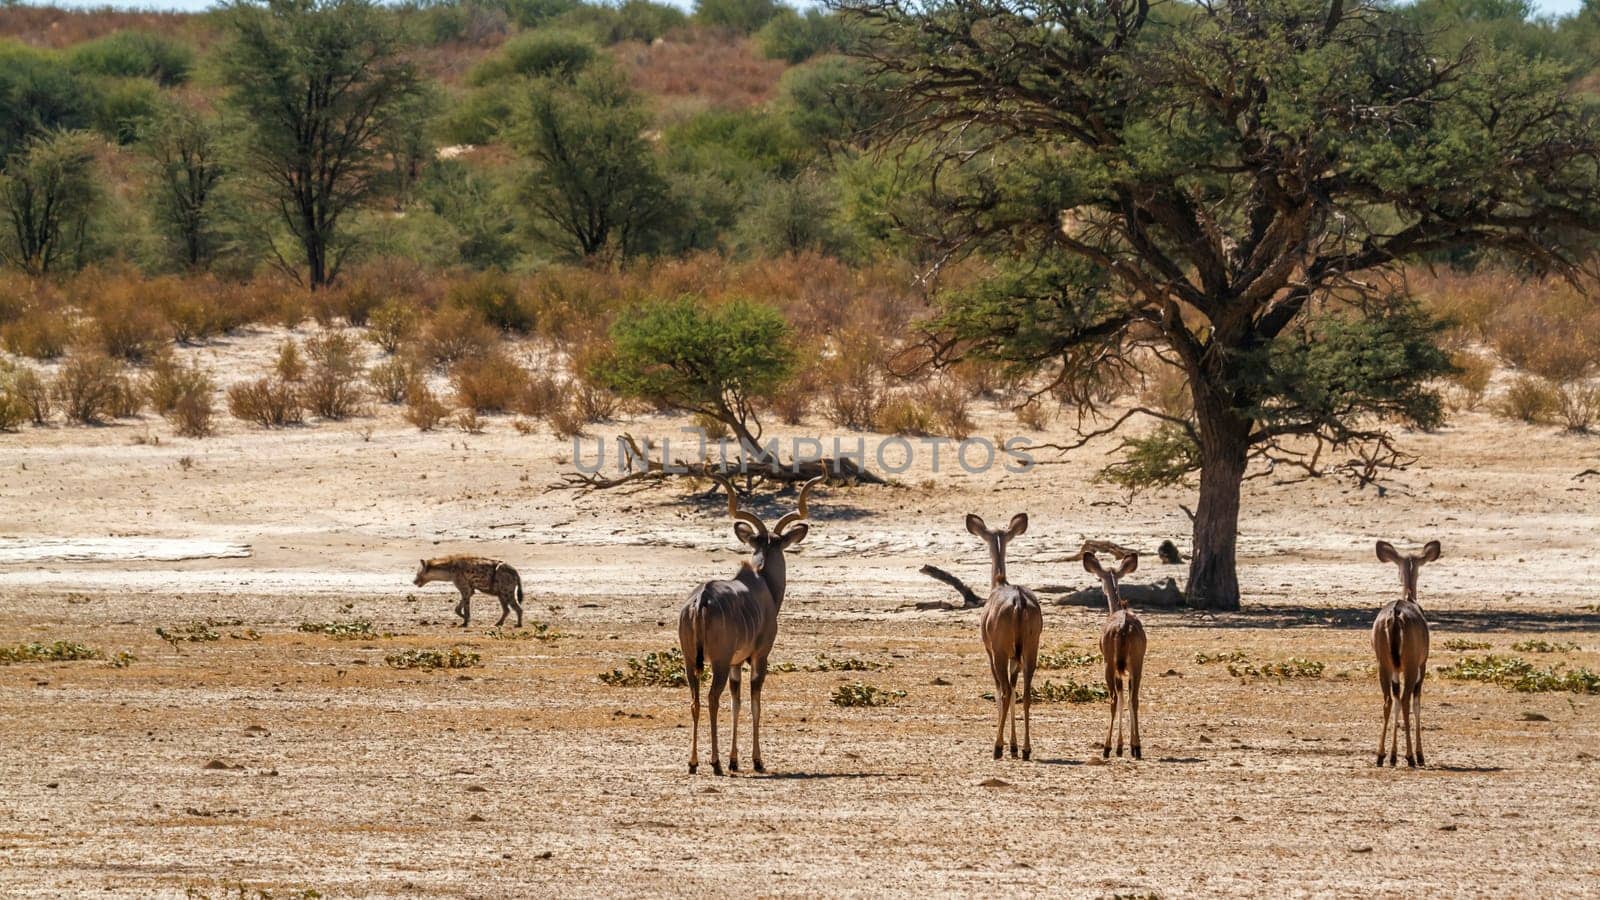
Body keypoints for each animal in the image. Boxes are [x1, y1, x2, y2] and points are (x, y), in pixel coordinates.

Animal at [678, 474, 819, 775]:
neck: (762, 582)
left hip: (689, 662)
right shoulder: (758, 656)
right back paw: (715, 762)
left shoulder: (734, 663)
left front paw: (735, 760)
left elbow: (737, 703)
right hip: (718, 662)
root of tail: (701, 600)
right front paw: (756, 760)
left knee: (696, 700)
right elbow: (755, 703)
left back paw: (693, 763)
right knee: (711, 699)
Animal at [966, 512, 1043, 755]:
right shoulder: (1014, 657)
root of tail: (1019, 602)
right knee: (1025, 693)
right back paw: (1026, 749)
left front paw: (1006, 745)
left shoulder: (990, 652)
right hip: (1030, 649)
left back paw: (997, 748)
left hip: (999, 652)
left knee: (1006, 691)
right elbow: (1015, 689)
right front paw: (1015, 745)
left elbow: (1000, 691)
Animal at [1081, 547, 1145, 755]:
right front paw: (1128, 745)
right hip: (1137, 663)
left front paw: (1119, 746)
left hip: (1109, 664)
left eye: (1099, 578)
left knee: (1114, 698)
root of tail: (1123, 627)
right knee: (1134, 698)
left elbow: (1120, 698)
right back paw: (1137, 747)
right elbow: (1129, 698)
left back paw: (1108, 747)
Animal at [1369, 538, 1446, 762]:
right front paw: (1419, 754)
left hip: (1383, 664)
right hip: (1411, 664)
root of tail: (1395, 614)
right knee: (1405, 700)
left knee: (1388, 701)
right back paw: (1412, 756)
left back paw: (1381, 755)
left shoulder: (1395, 668)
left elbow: (1394, 699)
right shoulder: (1422, 664)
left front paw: (1393, 754)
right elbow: (1416, 702)